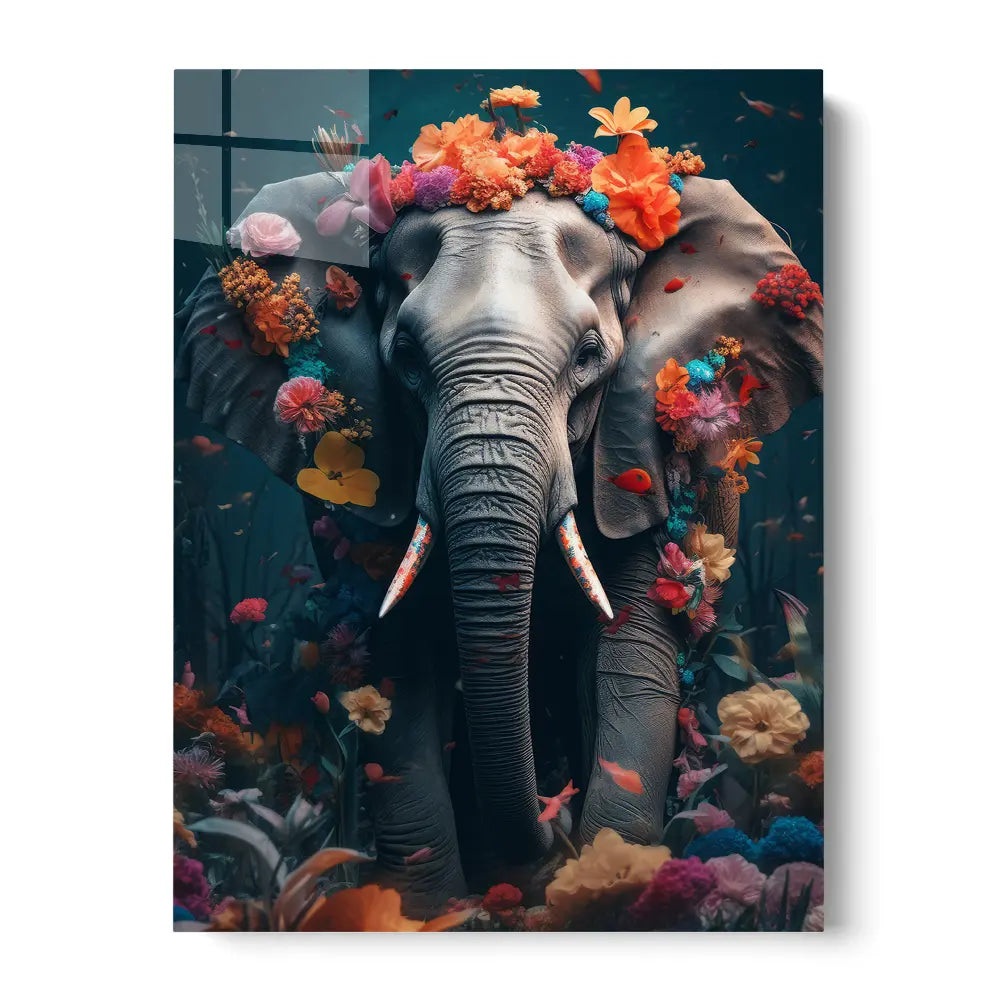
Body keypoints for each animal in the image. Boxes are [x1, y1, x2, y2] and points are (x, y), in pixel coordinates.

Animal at [176, 167, 823, 912]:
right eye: (404, 357)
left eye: (590, 355)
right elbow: (397, 656)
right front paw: (421, 911)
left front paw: (610, 887)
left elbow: (631, 653)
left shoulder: (650, 449)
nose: (552, 809)